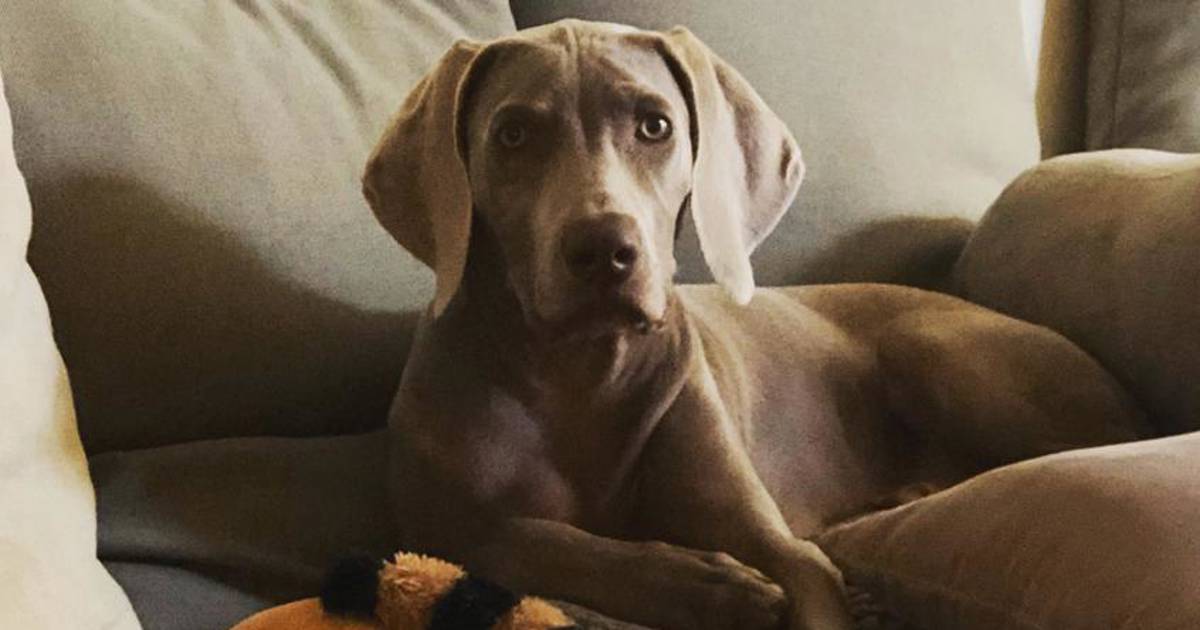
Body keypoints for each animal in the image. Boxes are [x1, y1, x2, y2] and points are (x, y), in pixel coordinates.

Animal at [360, 19, 1147, 628]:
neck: (578, 371)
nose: (604, 250)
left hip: (938, 351)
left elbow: (796, 573)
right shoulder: (443, 521)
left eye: (655, 125)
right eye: (514, 134)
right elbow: (526, 539)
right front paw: (709, 586)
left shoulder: (781, 548)